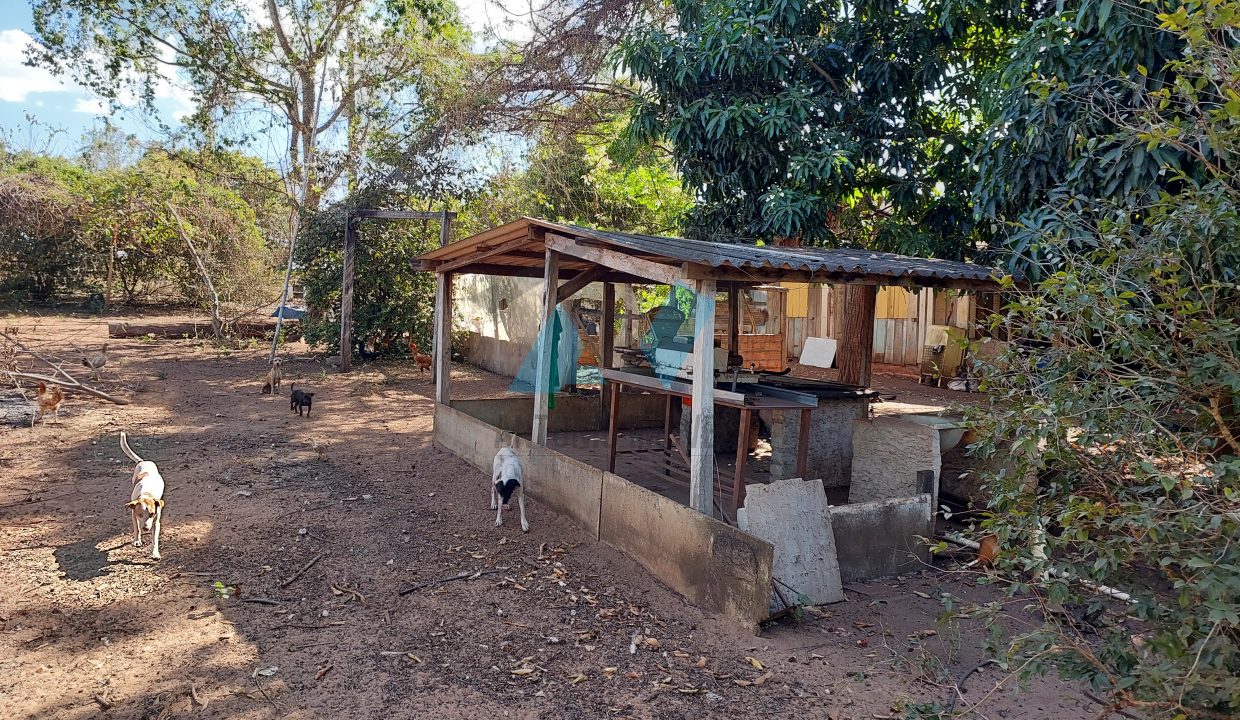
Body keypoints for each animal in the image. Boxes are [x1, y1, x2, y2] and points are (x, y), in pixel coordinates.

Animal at [120, 428, 166, 557]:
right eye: (140, 514)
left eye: (151, 514)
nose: (146, 528)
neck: (146, 494)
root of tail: (143, 461)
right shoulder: (133, 514)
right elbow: (136, 528)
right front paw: (137, 540)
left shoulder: (156, 521)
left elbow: (155, 538)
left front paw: (155, 553)